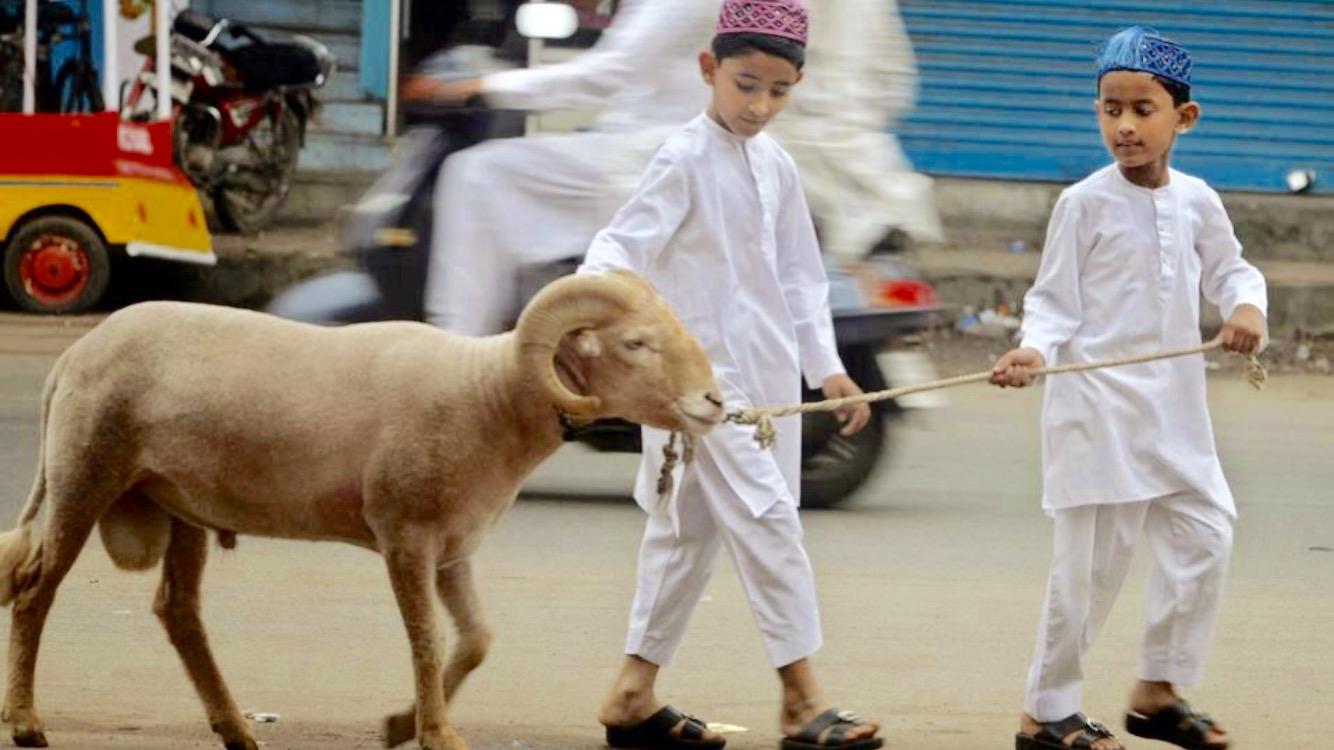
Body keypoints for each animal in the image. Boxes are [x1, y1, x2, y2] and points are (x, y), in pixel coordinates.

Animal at [0, 270, 720, 747]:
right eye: (636, 344)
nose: (714, 402)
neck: (485, 396)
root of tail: (72, 356)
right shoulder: (407, 535)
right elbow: (428, 640)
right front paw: (437, 734)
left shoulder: (453, 548)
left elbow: (478, 639)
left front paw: (400, 724)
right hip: (84, 474)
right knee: (36, 591)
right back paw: (28, 723)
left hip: (178, 508)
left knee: (177, 613)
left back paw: (235, 729)